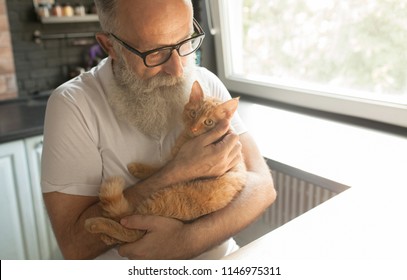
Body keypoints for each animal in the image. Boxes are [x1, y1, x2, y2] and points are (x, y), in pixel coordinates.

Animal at [85, 81, 245, 245]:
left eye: (209, 122)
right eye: (193, 113)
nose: (194, 127)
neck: (188, 138)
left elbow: (157, 168)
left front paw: (137, 168)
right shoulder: (173, 160)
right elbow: (159, 168)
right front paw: (140, 170)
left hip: (160, 200)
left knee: (131, 230)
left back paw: (96, 225)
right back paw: (106, 236)